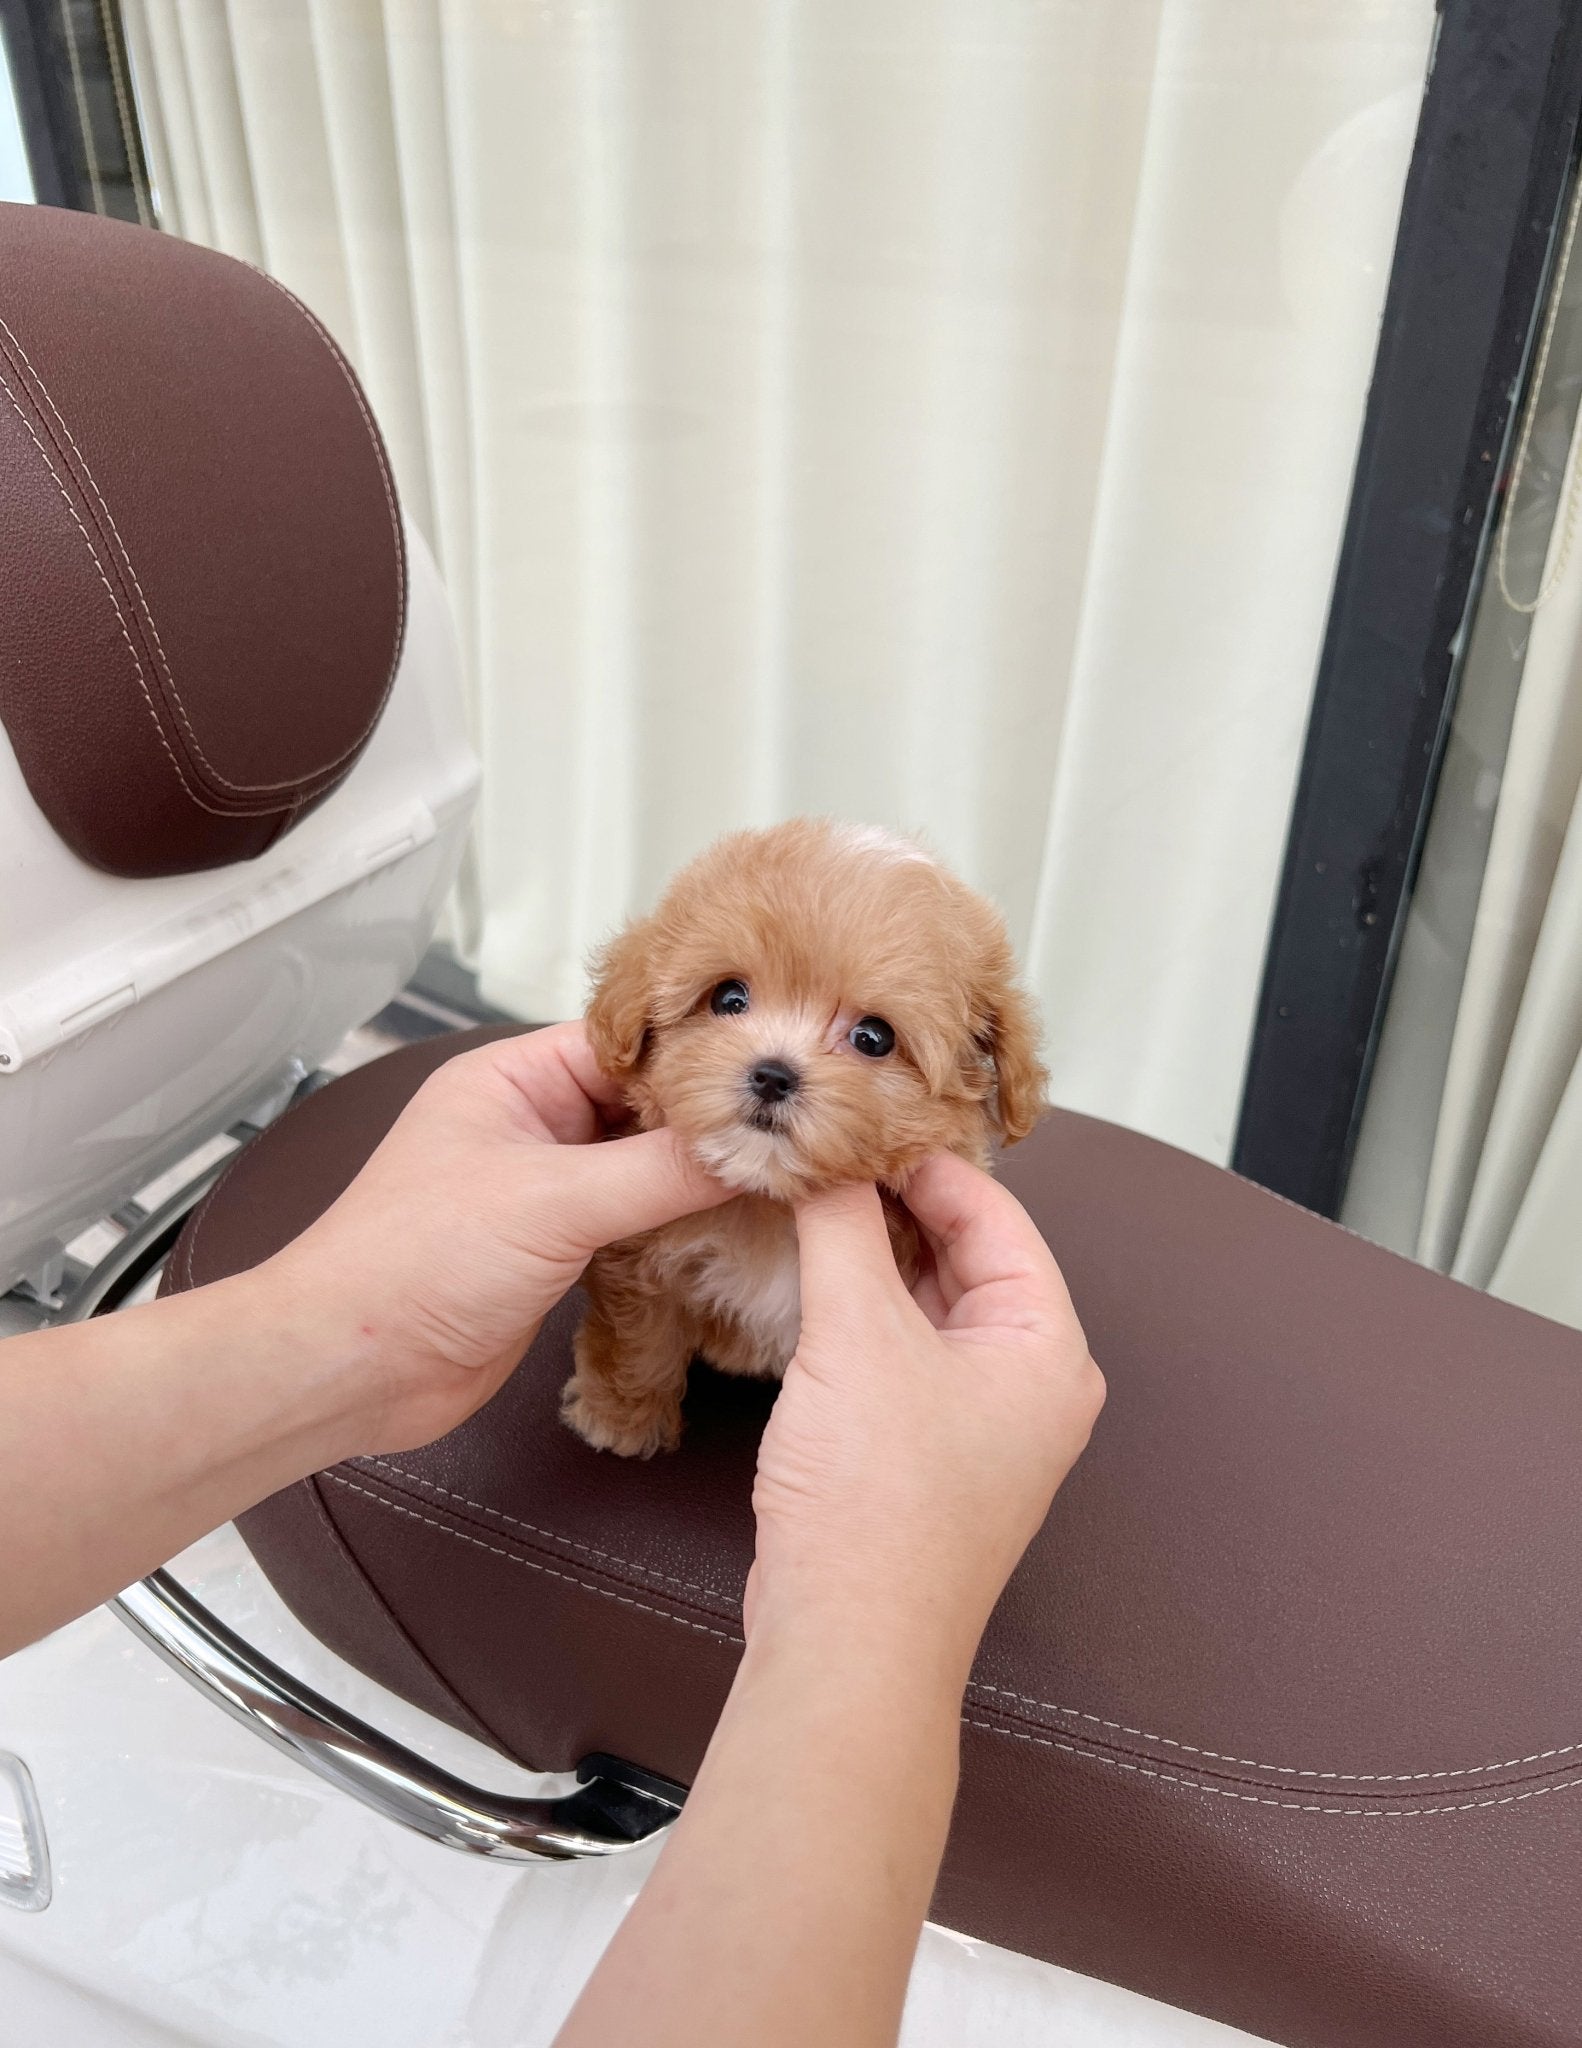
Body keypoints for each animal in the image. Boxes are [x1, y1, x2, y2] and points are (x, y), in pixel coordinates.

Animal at [561, 815, 1045, 1458]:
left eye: (873, 1038)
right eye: (729, 998)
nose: (771, 1074)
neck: (769, 1204)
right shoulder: (637, 1263)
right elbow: (639, 1338)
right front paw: (619, 1419)